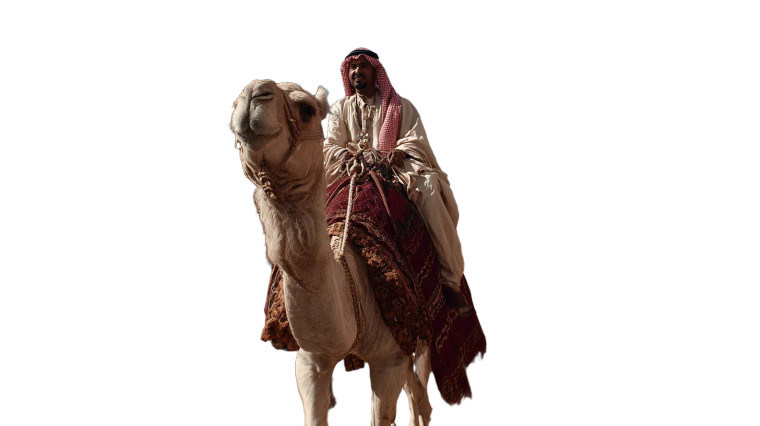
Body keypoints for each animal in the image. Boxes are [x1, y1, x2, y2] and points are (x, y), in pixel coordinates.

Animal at [230, 79, 433, 426]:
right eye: (231, 110)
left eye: (307, 109)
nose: (255, 92)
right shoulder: (311, 359)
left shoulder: (389, 360)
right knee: (417, 393)